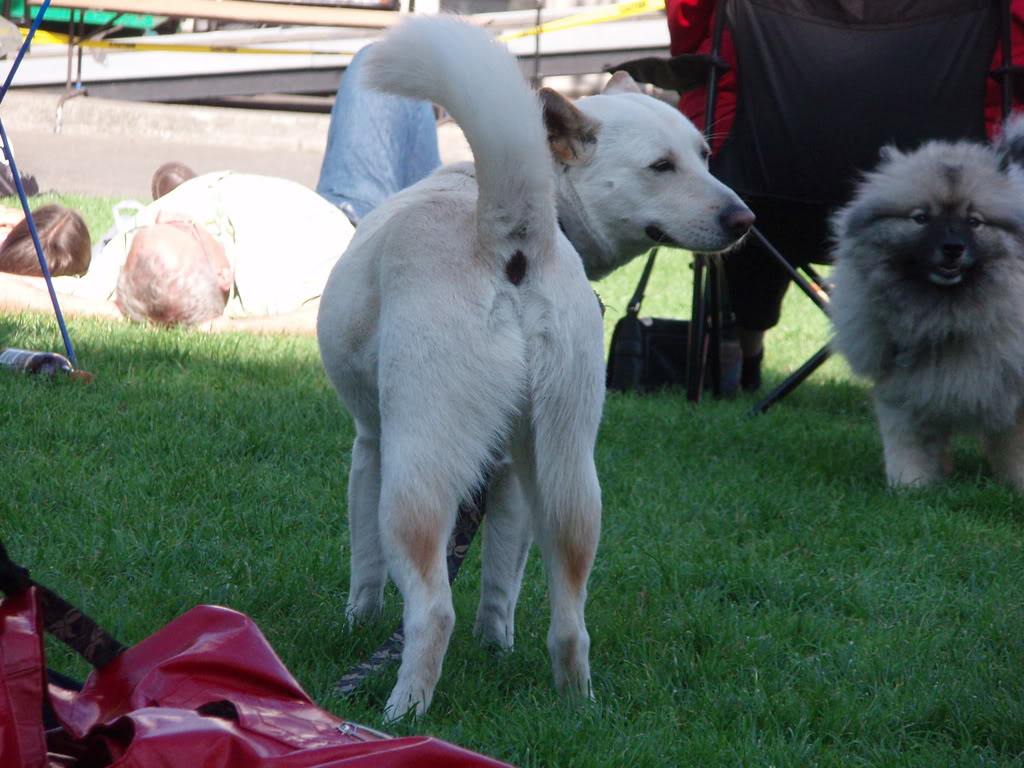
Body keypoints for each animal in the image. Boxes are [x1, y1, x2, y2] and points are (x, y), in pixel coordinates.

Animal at [315, 15, 749, 720]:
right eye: (665, 165)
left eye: (703, 157)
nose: (746, 218)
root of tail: (512, 233)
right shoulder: (513, 472)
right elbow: (502, 584)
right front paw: (498, 647)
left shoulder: (370, 447)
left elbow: (365, 565)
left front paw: (357, 622)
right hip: (571, 477)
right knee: (571, 621)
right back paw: (578, 709)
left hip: (419, 475)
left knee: (433, 611)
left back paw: (399, 709)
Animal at [827, 120, 1024, 493]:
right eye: (921, 218)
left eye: (974, 221)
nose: (952, 248)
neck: (948, 316)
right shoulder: (904, 385)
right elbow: (908, 443)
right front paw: (910, 486)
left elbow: (1014, 445)